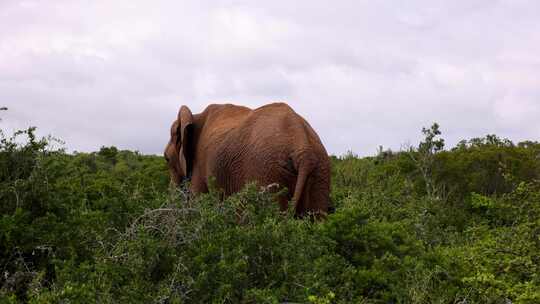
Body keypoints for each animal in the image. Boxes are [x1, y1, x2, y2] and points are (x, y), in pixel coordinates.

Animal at [162, 102, 332, 216]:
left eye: (166, 159)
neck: (195, 116)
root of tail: (302, 146)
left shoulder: (200, 165)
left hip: (265, 171)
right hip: (320, 171)